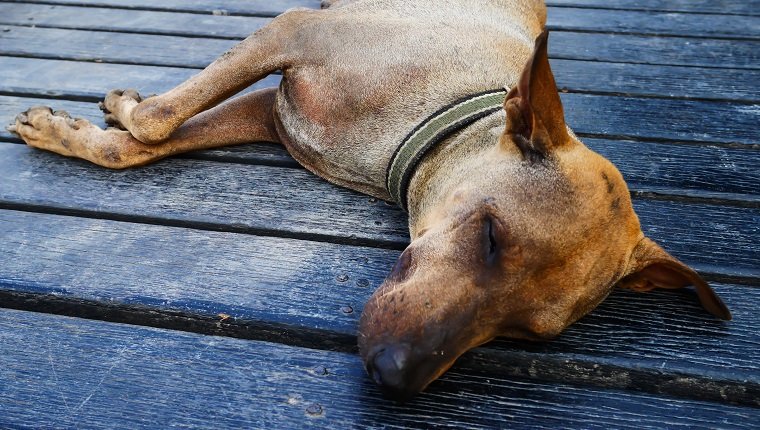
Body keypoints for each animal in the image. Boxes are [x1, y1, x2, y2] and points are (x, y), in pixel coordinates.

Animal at [7, 0, 732, 402]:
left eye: (528, 333)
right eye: (491, 235)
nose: (394, 375)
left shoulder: (272, 114)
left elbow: (146, 139)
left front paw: (82, 131)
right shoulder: (294, 35)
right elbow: (158, 121)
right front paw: (119, 110)